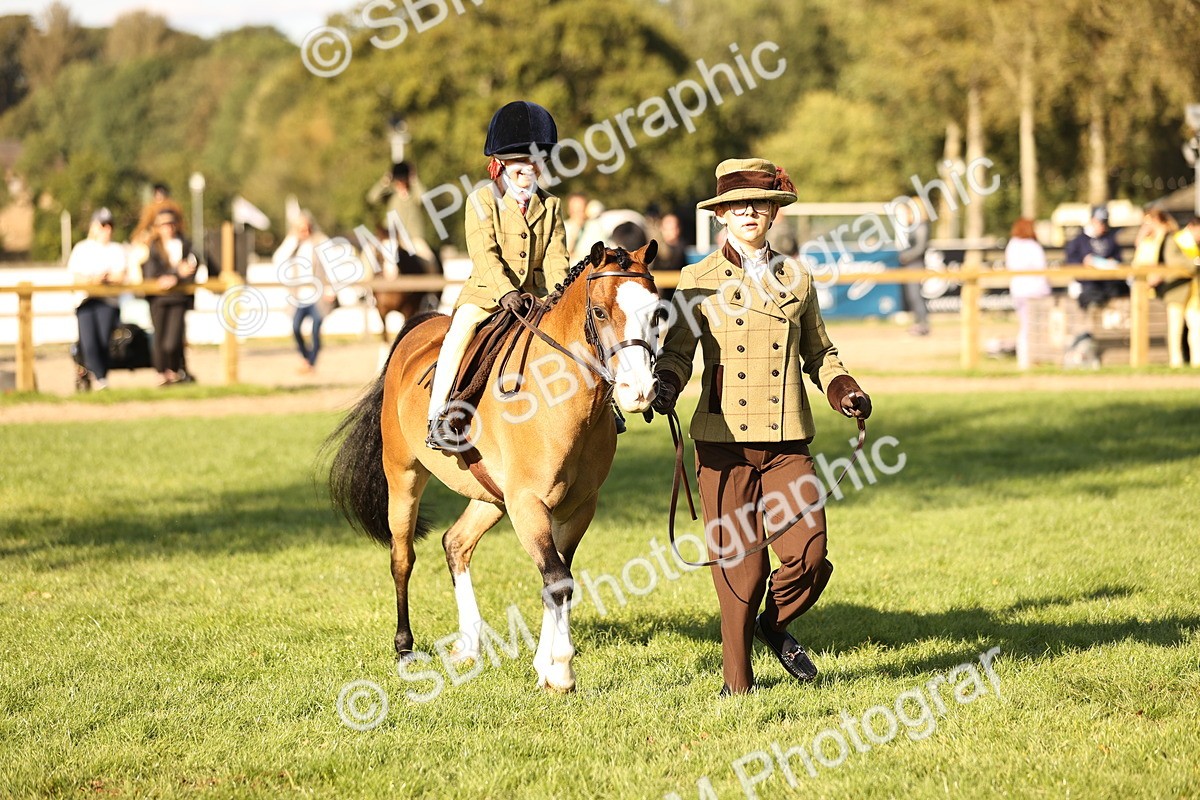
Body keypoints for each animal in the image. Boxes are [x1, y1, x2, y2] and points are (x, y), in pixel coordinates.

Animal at [327, 241, 662, 692]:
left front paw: (544, 666)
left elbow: (558, 577)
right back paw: (405, 648)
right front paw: (562, 670)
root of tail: (418, 331)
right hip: (404, 475)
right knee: (402, 558)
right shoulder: (528, 503)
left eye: (657, 312)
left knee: (455, 543)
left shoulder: (577, 507)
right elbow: (557, 579)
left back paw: (469, 644)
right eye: (600, 312)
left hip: (491, 498)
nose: (639, 391)